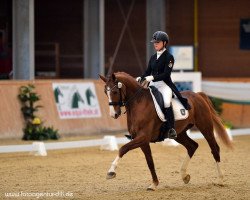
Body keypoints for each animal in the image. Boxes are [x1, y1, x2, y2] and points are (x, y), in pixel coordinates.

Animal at [99, 72, 232, 191]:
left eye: (115, 92)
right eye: (106, 92)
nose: (114, 114)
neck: (138, 103)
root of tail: (198, 95)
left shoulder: (143, 137)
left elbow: (123, 149)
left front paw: (111, 172)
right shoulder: (142, 140)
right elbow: (150, 162)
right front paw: (154, 184)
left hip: (205, 127)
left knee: (214, 148)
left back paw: (220, 179)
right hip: (180, 134)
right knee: (192, 146)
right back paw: (184, 176)